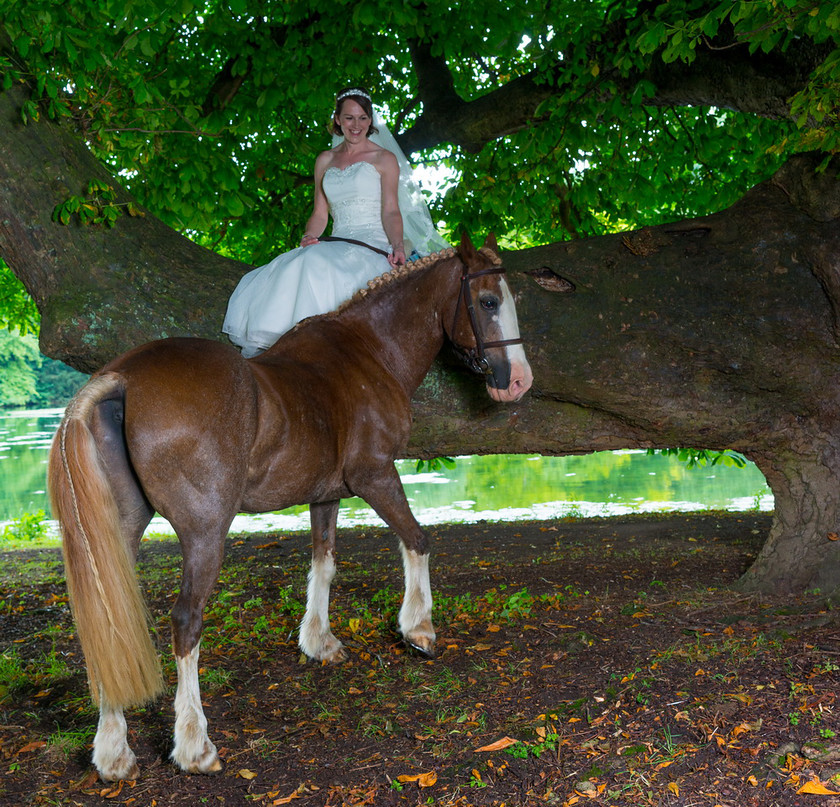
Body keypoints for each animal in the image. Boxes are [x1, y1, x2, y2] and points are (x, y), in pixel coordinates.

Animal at [47, 235, 532, 784]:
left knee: (110, 619)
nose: (517, 382)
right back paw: (194, 743)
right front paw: (418, 629)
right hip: (205, 532)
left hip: (117, 535)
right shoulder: (375, 475)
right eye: (488, 301)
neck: (369, 353)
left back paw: (113, 750)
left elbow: (323, 561)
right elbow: (417, 539)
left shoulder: (326, 494)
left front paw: (318, 641)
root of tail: (120, 377)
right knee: (186, 622)